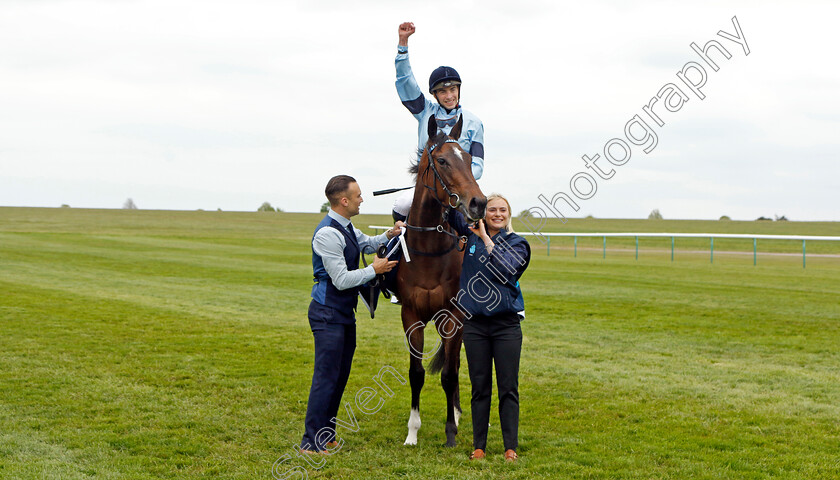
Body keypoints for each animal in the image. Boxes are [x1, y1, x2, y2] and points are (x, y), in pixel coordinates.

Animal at [398, 115, 486, 446]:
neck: (428, 252)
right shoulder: (411, 315)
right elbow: (416, 373)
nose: (478, 203)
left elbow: (449, 374)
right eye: (443, 160)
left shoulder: (454, 316)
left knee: (456, 364)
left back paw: (458, 416)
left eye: (470, 159)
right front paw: (412, 432)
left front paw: (451, 431)